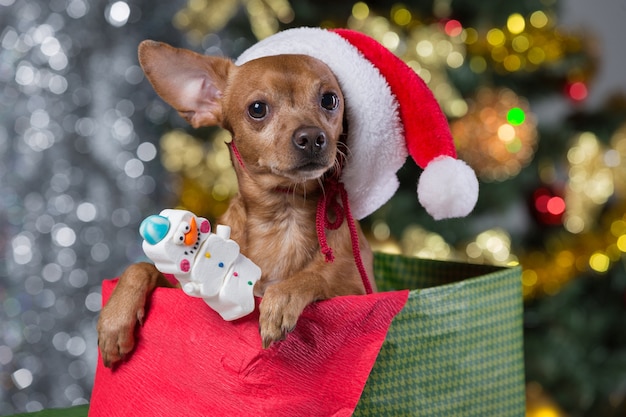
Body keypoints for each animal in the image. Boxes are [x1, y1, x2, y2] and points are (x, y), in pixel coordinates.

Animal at [96, 41, 370, 368]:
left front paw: (282, 296)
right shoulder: (181, 289)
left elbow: (315, 276)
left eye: (329, 100)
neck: (284, 214)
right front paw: (114, 320)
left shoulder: (362, 290)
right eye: (257, 109)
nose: (313, 137)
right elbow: (140, 267)